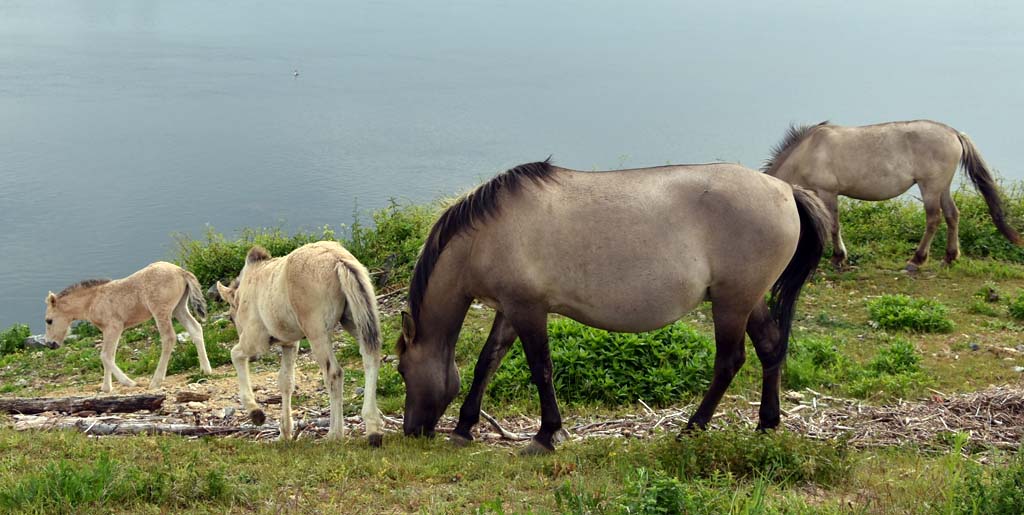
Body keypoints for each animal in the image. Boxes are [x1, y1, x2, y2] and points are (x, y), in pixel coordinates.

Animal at [43, 264, 210, 393]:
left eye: (49, 320)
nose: (50, 344)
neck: (92, 300)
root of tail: (181, 271)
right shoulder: (107, 330)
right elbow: (109, 355)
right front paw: (106, 388)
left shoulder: (114, 327)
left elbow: (105, 356)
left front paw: (129, 382)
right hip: (178, 308)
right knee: (195, 329)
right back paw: (206, 370)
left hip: (161, 311)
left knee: (169, 338)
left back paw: (156, 381)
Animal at [216, 243, 385, 446]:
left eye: (231, 318)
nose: (255, 358)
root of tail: (338, 259)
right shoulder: (290, 344)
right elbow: (286, 382)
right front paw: (284, 433)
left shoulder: (256, 341)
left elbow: (235, 354)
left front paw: (256, 413)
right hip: (354, 321)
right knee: (371, 358)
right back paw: (373, 429)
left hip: (317, 333)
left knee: (334, 373)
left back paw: (334, 434)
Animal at [391, 159, 831, 452]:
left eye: (401, 370)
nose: (412, 430)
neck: (487, 235)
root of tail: (785, 190)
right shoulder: (510, 309)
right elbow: (487, 362)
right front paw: (464, 427)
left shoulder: (528, 309)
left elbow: (541, 369)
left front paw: (546, 435)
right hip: (748, 300)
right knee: (769, 349)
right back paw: (766, 424)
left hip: (731, 304)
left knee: (729, 361)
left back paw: (692, 428)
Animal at [765, 119, 1019, 270]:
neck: (808, 151)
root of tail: (954, 133)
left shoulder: (828, 192)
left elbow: (833, 225)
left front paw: (838, 257)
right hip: (942, 186)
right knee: (952, 215)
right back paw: (949, 256)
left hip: (930, 187)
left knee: (933, 218)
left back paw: (917, 260)